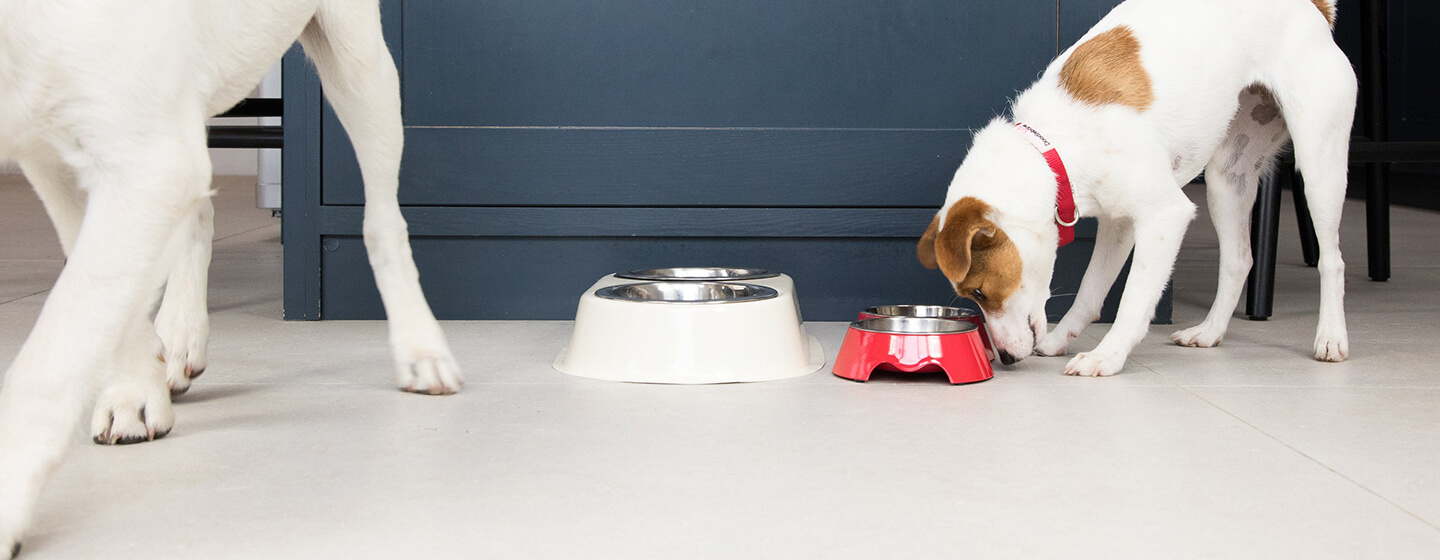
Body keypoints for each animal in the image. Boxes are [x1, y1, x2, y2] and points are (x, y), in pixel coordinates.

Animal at [1, 1, 460, 552]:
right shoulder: (61, 154)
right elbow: (92, 309)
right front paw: (135, 390)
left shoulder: (143, 153)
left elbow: (49, 363)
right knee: (196, 209)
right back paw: (178, 337)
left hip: (359, 61)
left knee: (383, 219)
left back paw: (421, 349)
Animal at [915, 0, 1353, 377]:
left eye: (979, 292)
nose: (1004, 358)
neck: (1054, 148)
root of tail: (1314, 8)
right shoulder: (1119, 223)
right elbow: (1091, 290)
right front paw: (1060, 341)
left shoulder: (1164, 217)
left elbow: (1133, 300)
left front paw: (1107, 356)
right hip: (1228, 179)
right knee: (1238, 260)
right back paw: (1209, 332)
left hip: (1319, 164)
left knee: (1331, 259)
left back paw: (1331, 338)